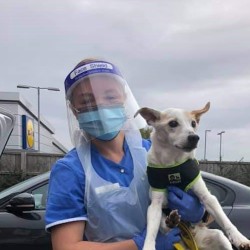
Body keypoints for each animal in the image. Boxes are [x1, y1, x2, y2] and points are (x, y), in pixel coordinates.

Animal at [136, 101, 249, 250]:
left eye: (193, 123)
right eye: (173, 123)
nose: (194, 137)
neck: (173, 164)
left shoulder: (208, 197)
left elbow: (225, 220)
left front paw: (239, 238)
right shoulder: (155, 204)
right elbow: (151, 231)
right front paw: (148, 246)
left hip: (219, 237)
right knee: (165, 228)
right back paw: (171, 221)